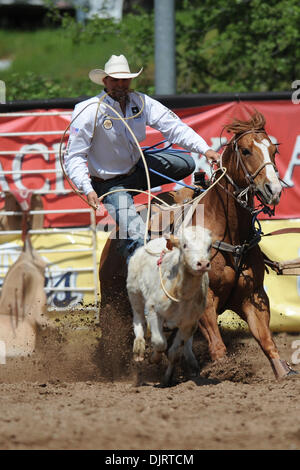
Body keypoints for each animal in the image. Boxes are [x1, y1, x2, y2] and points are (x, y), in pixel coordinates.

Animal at [99, 112, 298, 380]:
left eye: (274, 150)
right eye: (246, 151)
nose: (274, 190)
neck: (230, 235)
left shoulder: (254, 296)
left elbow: (267, 341)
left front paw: (284, 372)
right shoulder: (204, 301)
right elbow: (218, 345)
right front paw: (226, 370)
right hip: (112, 303)